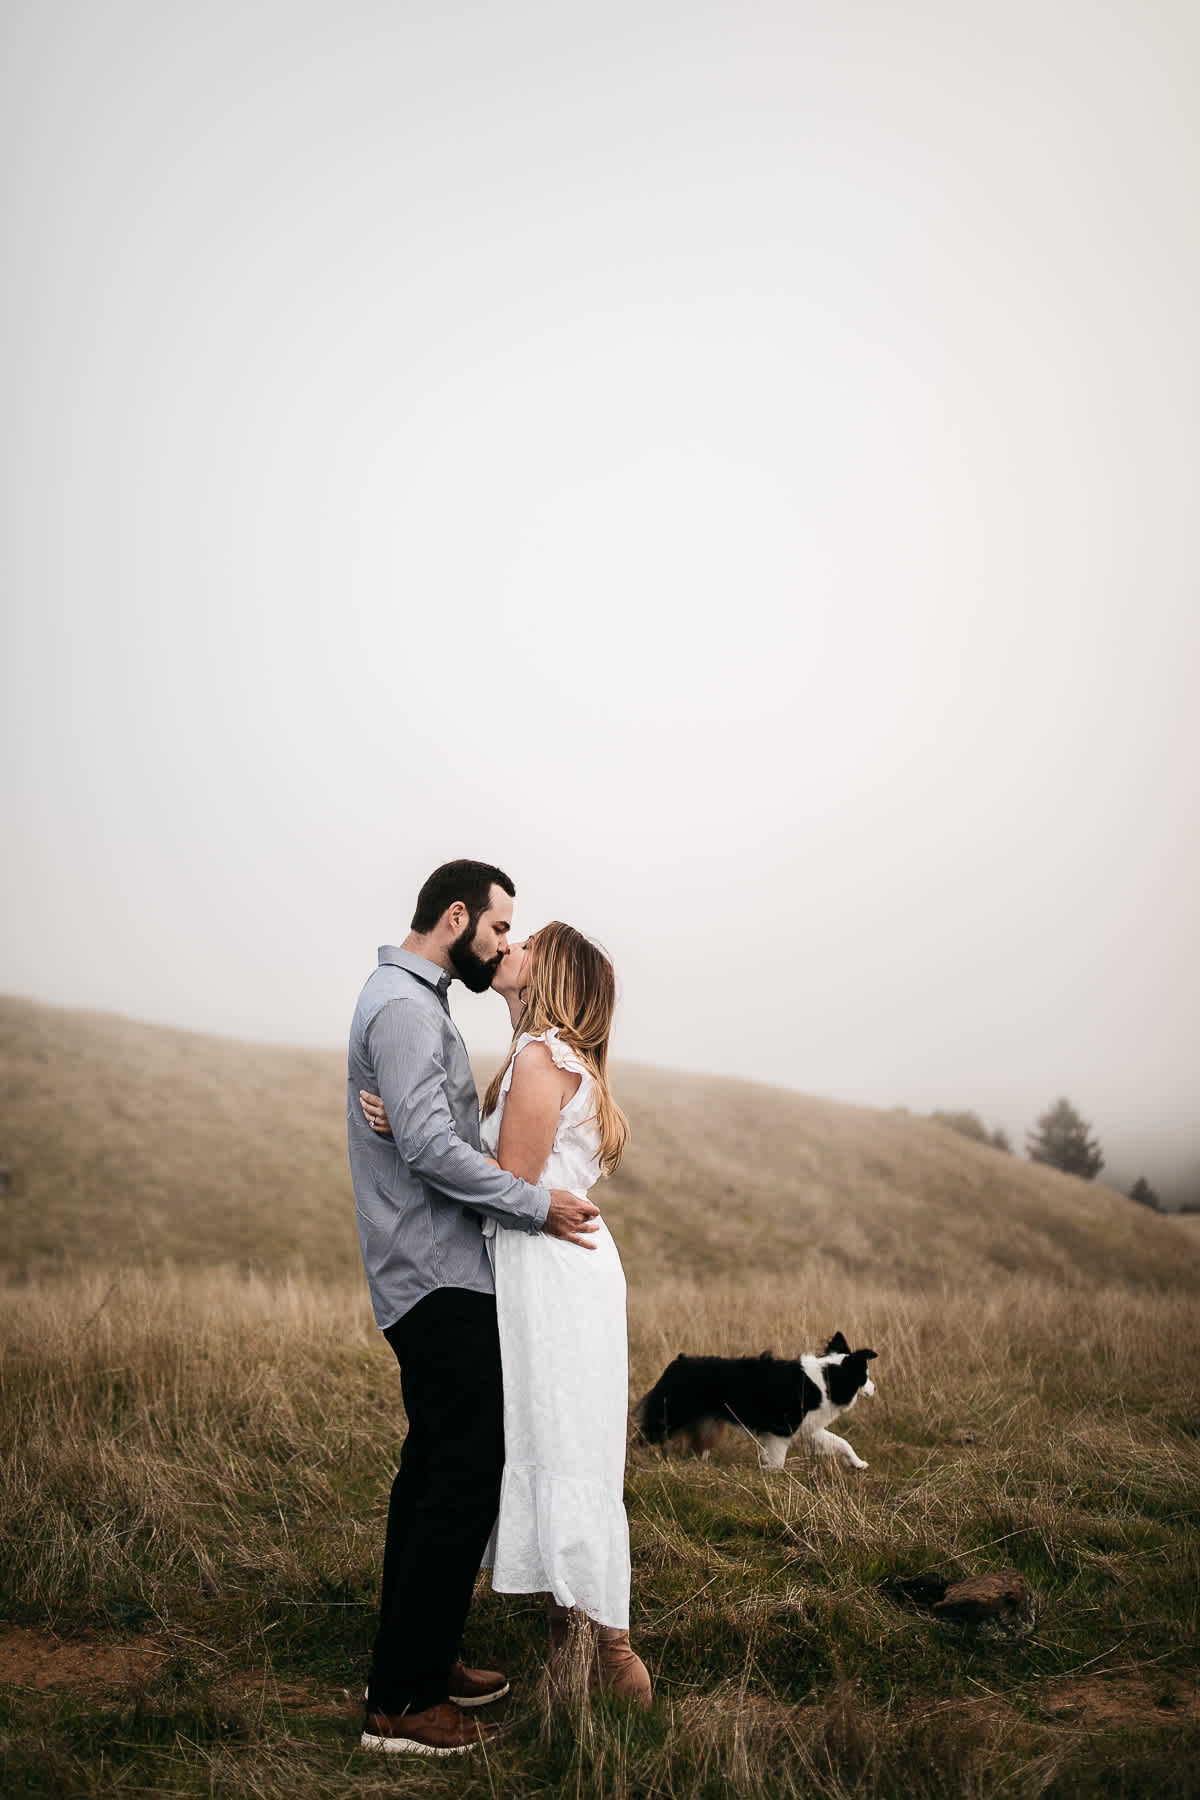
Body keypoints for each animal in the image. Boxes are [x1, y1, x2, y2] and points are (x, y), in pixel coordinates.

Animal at [633, 1332, 877, 1468]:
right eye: (865, 1375)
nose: (874, 1388)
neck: (829, 1379)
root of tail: (677, 1362)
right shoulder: (780, 1431)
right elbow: (778, 1462)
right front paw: (769, 1474)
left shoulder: (809, 1428)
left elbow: (841, 1442)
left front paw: (859, 1464)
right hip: (671, 1416)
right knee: (640, 1439)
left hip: (704, 1425)